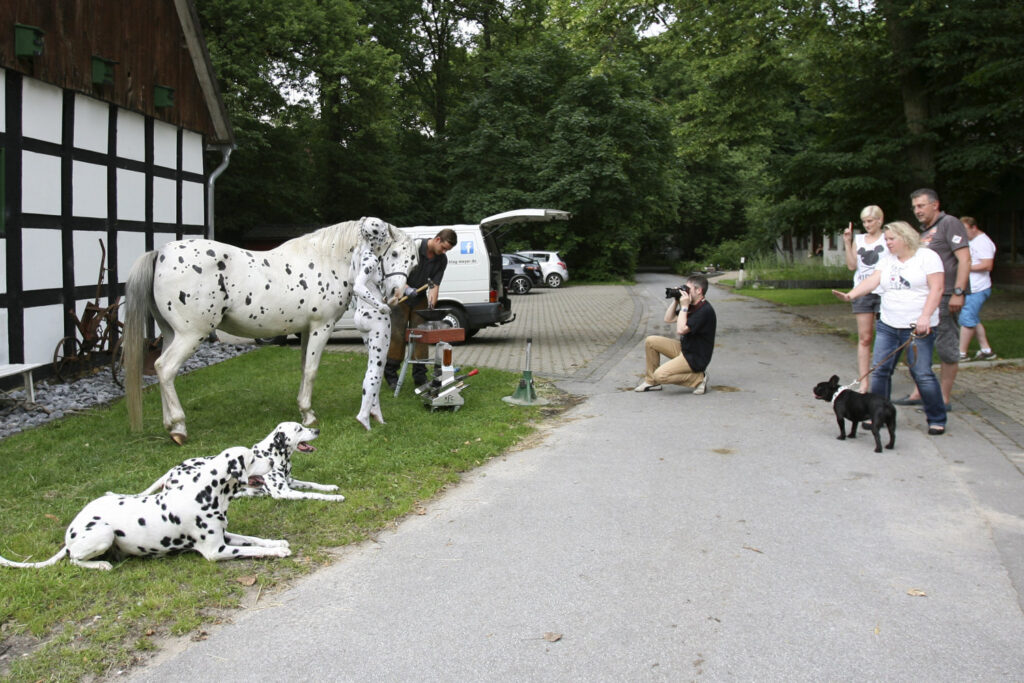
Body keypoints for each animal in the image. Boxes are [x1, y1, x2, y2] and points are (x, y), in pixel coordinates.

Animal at [0, 446, 290, 569]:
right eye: (253, 459)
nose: (272, 461)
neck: (205, 493)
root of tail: (72, 529)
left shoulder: (225, 534)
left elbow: (253, 539)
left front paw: (276, 542)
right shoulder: (216, 551)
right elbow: (251, 550)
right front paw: (277, 552)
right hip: (103, 533)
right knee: (74, 560)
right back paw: (101, 565)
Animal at [123, 216, 415, 446]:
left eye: (413, 262)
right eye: (395, 254)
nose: (396, 294)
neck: (325, 258)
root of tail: (161, 253)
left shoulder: (306, 330)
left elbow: (303, 369)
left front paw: (303, 410)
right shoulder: (321, 327)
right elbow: (312, 370)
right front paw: (309, 414)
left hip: (171, 334)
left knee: (163, 372)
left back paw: (170, 425)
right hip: (190, 335)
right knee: (165, 368)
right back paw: (179, 427)